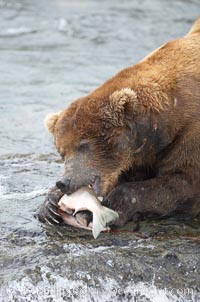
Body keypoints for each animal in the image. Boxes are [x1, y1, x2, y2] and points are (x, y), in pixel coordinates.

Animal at [38, 18, 200, 226]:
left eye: (83, 144)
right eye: (61, 152)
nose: (64, 182)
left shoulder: (189, 134)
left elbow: (184, 182)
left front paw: (96, 210)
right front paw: (49, 205)